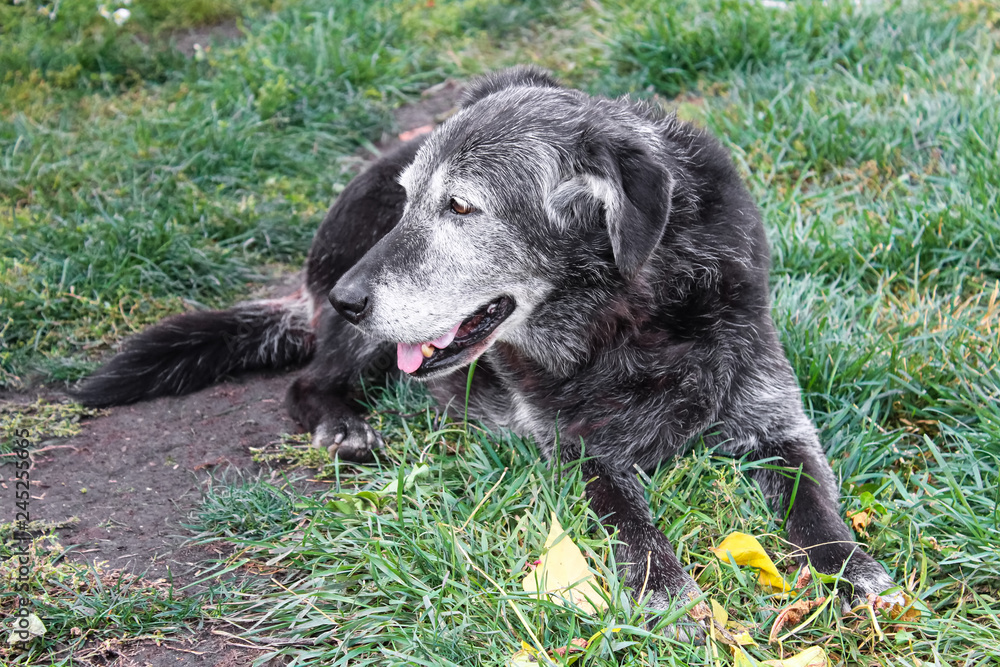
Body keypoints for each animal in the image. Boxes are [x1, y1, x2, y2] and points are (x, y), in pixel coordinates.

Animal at [74, 66, 904, 632]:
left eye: (461, 206)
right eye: (410, 200)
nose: (349, 295)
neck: (631, 317)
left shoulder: (776, 420)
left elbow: (813, 504)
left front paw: (852, 569)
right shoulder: (581, 454)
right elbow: (628, 519)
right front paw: (664, 586)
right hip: (356, 340)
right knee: (308, 383)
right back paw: (343, 426)